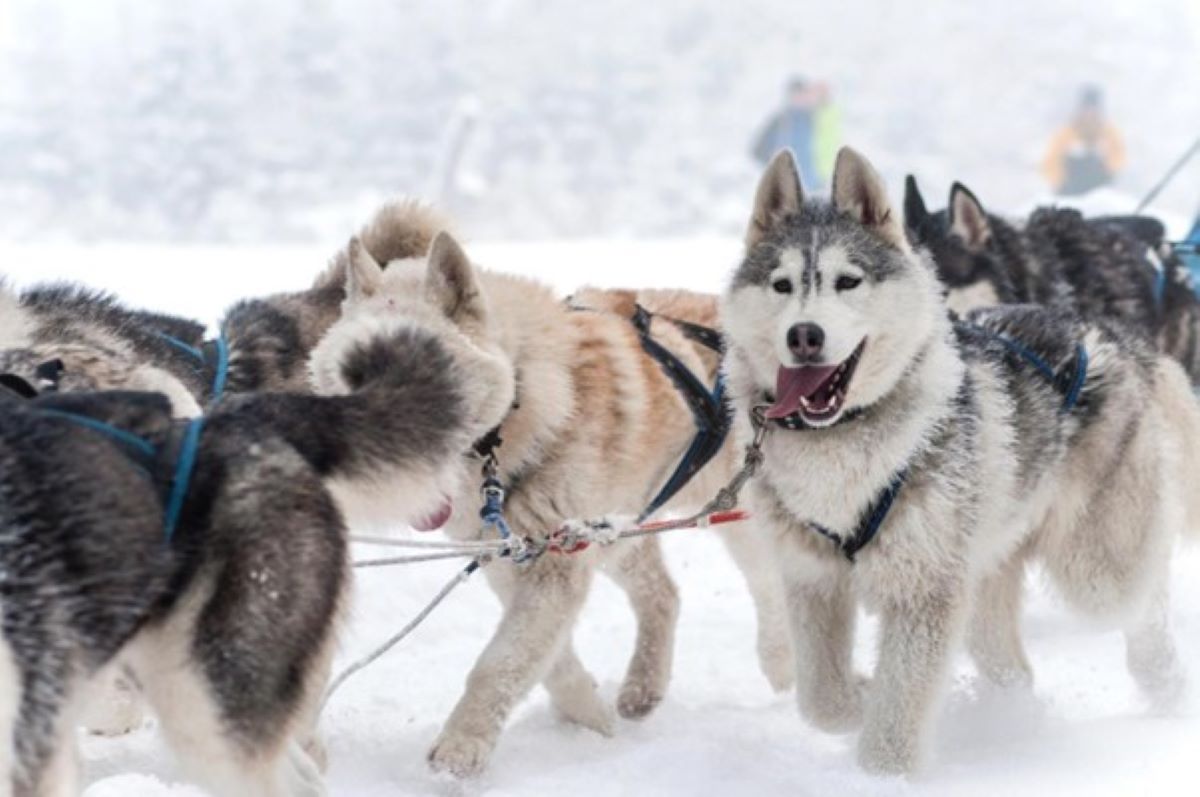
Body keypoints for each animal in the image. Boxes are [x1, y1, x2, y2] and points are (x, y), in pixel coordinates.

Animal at [331, 219, 796, 777]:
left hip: (731, 514)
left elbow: (500, 662)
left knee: (769, 585)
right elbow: (548, 660)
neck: (518, 409)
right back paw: (642, 686)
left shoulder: (555, 565)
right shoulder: (514, 557)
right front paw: (588, 716)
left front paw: (461, 748)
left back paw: (780, 663)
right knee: (662, 593)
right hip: (618, 530)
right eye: (349, 378)